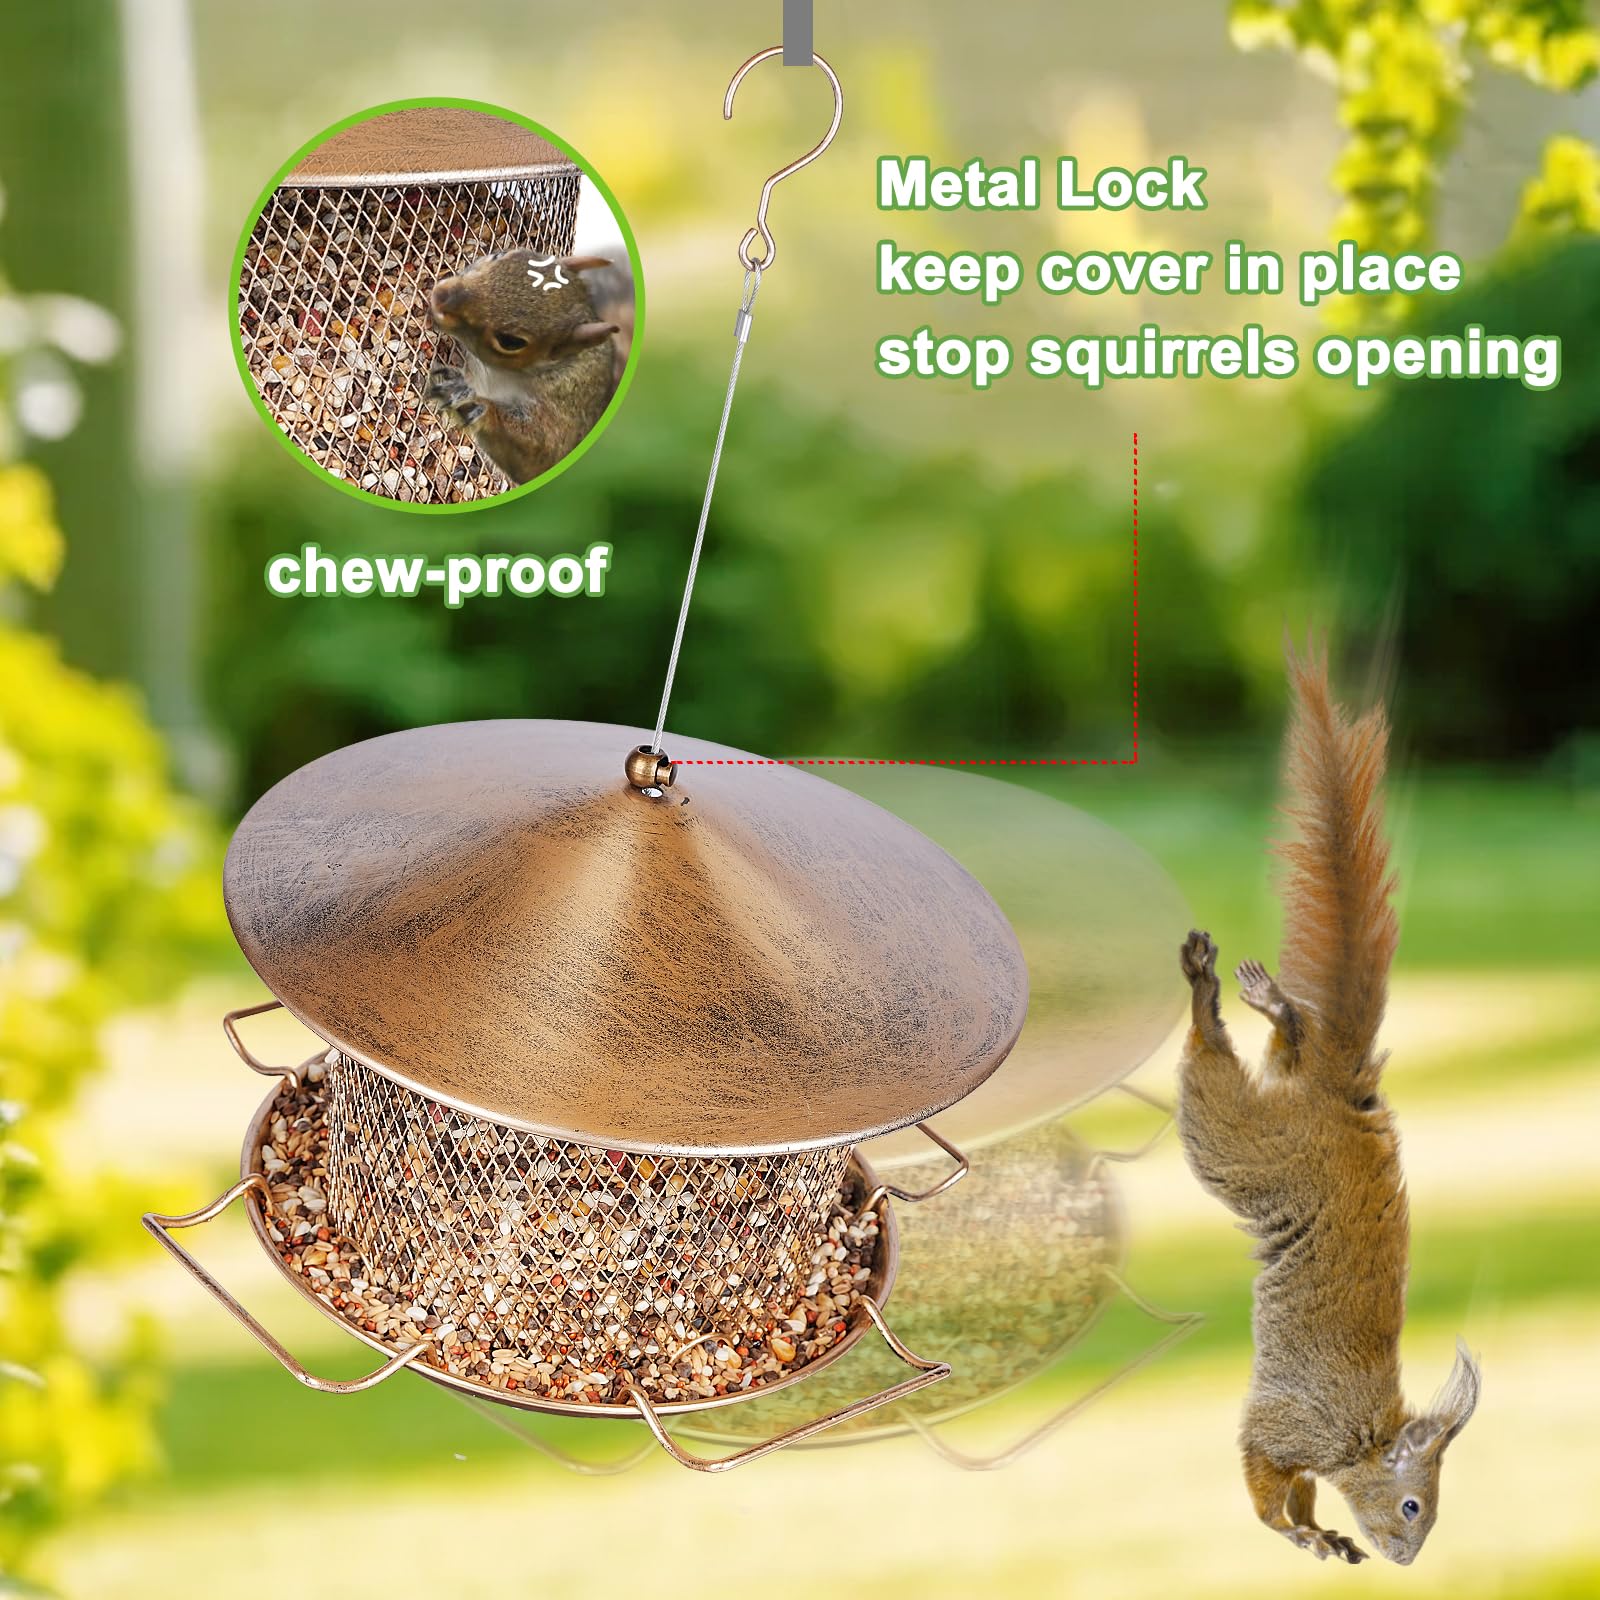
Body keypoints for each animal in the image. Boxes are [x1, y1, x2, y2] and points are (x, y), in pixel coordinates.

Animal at [424, 250, 621, 484]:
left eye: (510, 342)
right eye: (498, 255)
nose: (439, 297)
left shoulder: (567, 405)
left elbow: (538, 452)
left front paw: (476, 404)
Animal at [1175, 647, 1480, 1567]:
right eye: (1414, 1505)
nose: (1409, 1559)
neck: (1365, 1438)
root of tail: (1343, 1097)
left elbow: (1293, 1492)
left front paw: (1320, 1534)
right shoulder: (1292, 1428)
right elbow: (1264, 1484)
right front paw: (1298, 1533)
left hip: (1278, 1105)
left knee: (1292, 1042)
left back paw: (1276, 1006)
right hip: (1250, 1146)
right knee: (1212, 1072)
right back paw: (1208, 995)